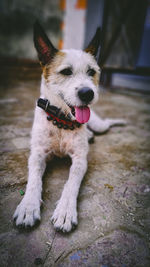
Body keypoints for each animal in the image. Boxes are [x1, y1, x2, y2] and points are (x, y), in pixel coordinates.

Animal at [13, 22, 125, 233]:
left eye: (92, 72)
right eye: (66, 71)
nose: (88, 94)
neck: (61, 122)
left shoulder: (80, 159)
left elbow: (71, 183)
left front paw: (65, 211)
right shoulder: (37, 155)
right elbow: (33, 180)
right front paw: (28, 206)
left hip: (99, 125)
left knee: (106, 124)